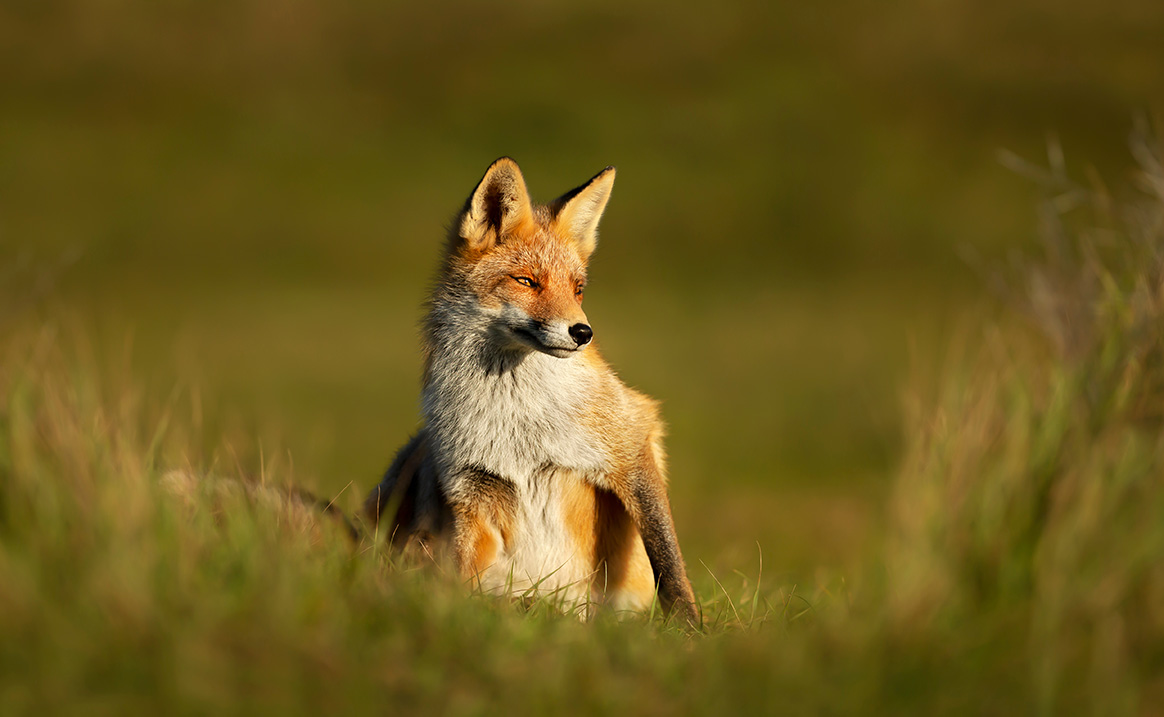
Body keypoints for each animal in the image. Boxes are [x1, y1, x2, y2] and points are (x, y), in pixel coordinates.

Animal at [360, 158, 698, 628]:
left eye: (578, 288)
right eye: (526, 281)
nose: (583, 333)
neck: (518, 420)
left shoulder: (629, 445)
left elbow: (668, 559)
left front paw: (690, 628)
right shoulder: (470, 489)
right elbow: (461, 573)